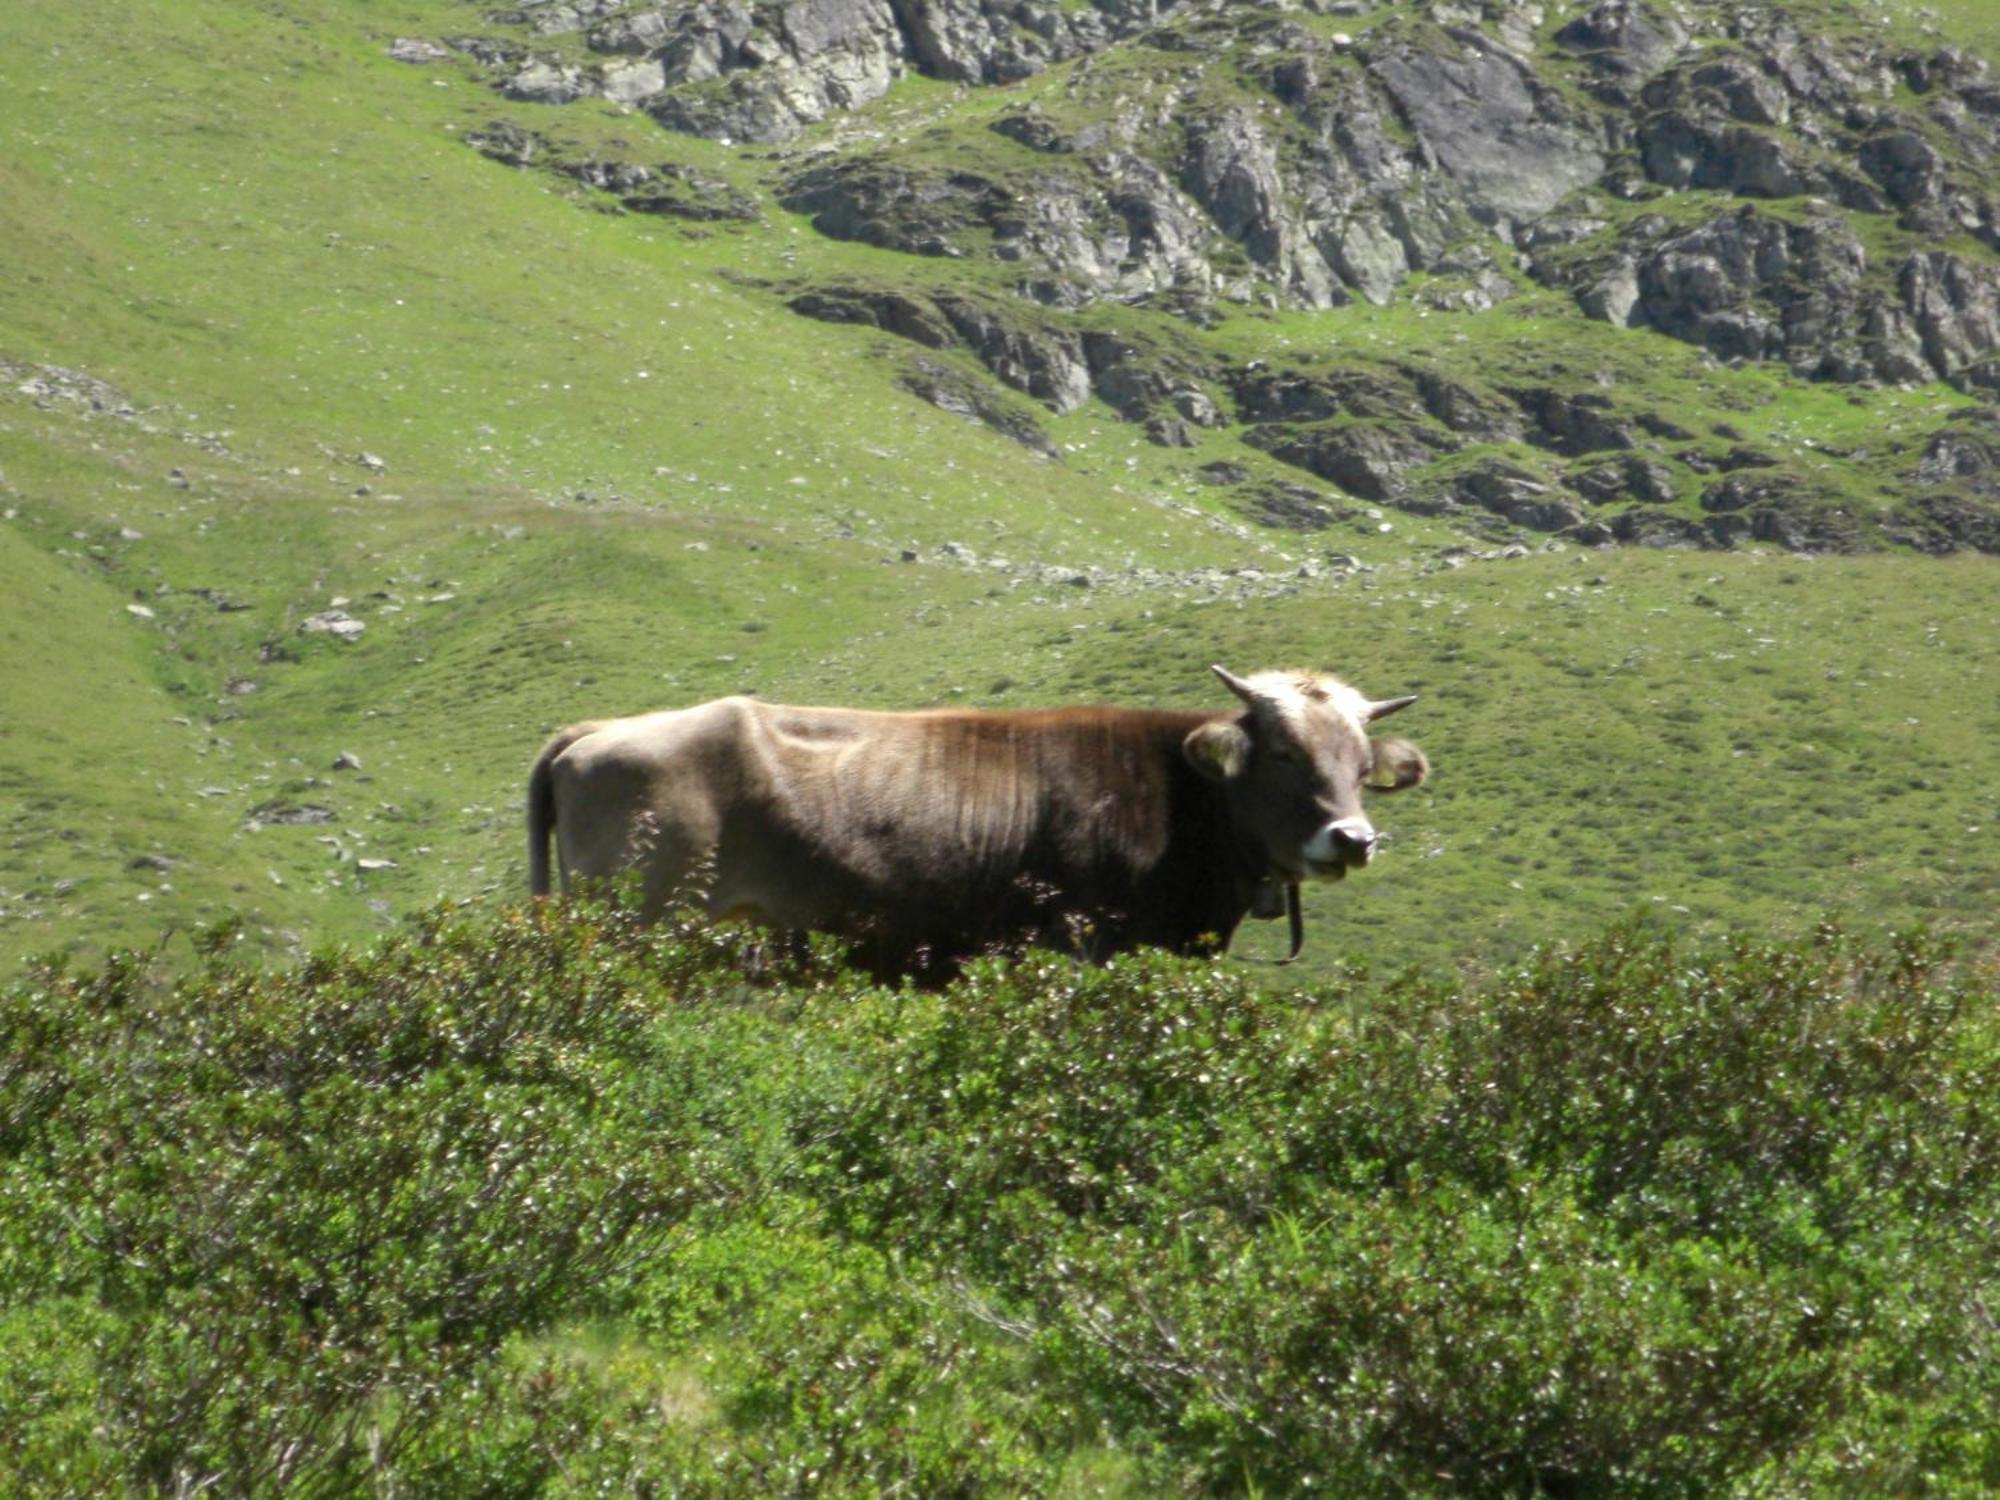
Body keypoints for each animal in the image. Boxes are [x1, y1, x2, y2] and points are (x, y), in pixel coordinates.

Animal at [524, 668, 1432, 976]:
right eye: (1281, 752)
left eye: (1362, 765)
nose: (1354, 839)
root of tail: (595, 730)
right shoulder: (1084, 948)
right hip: (638, 921)